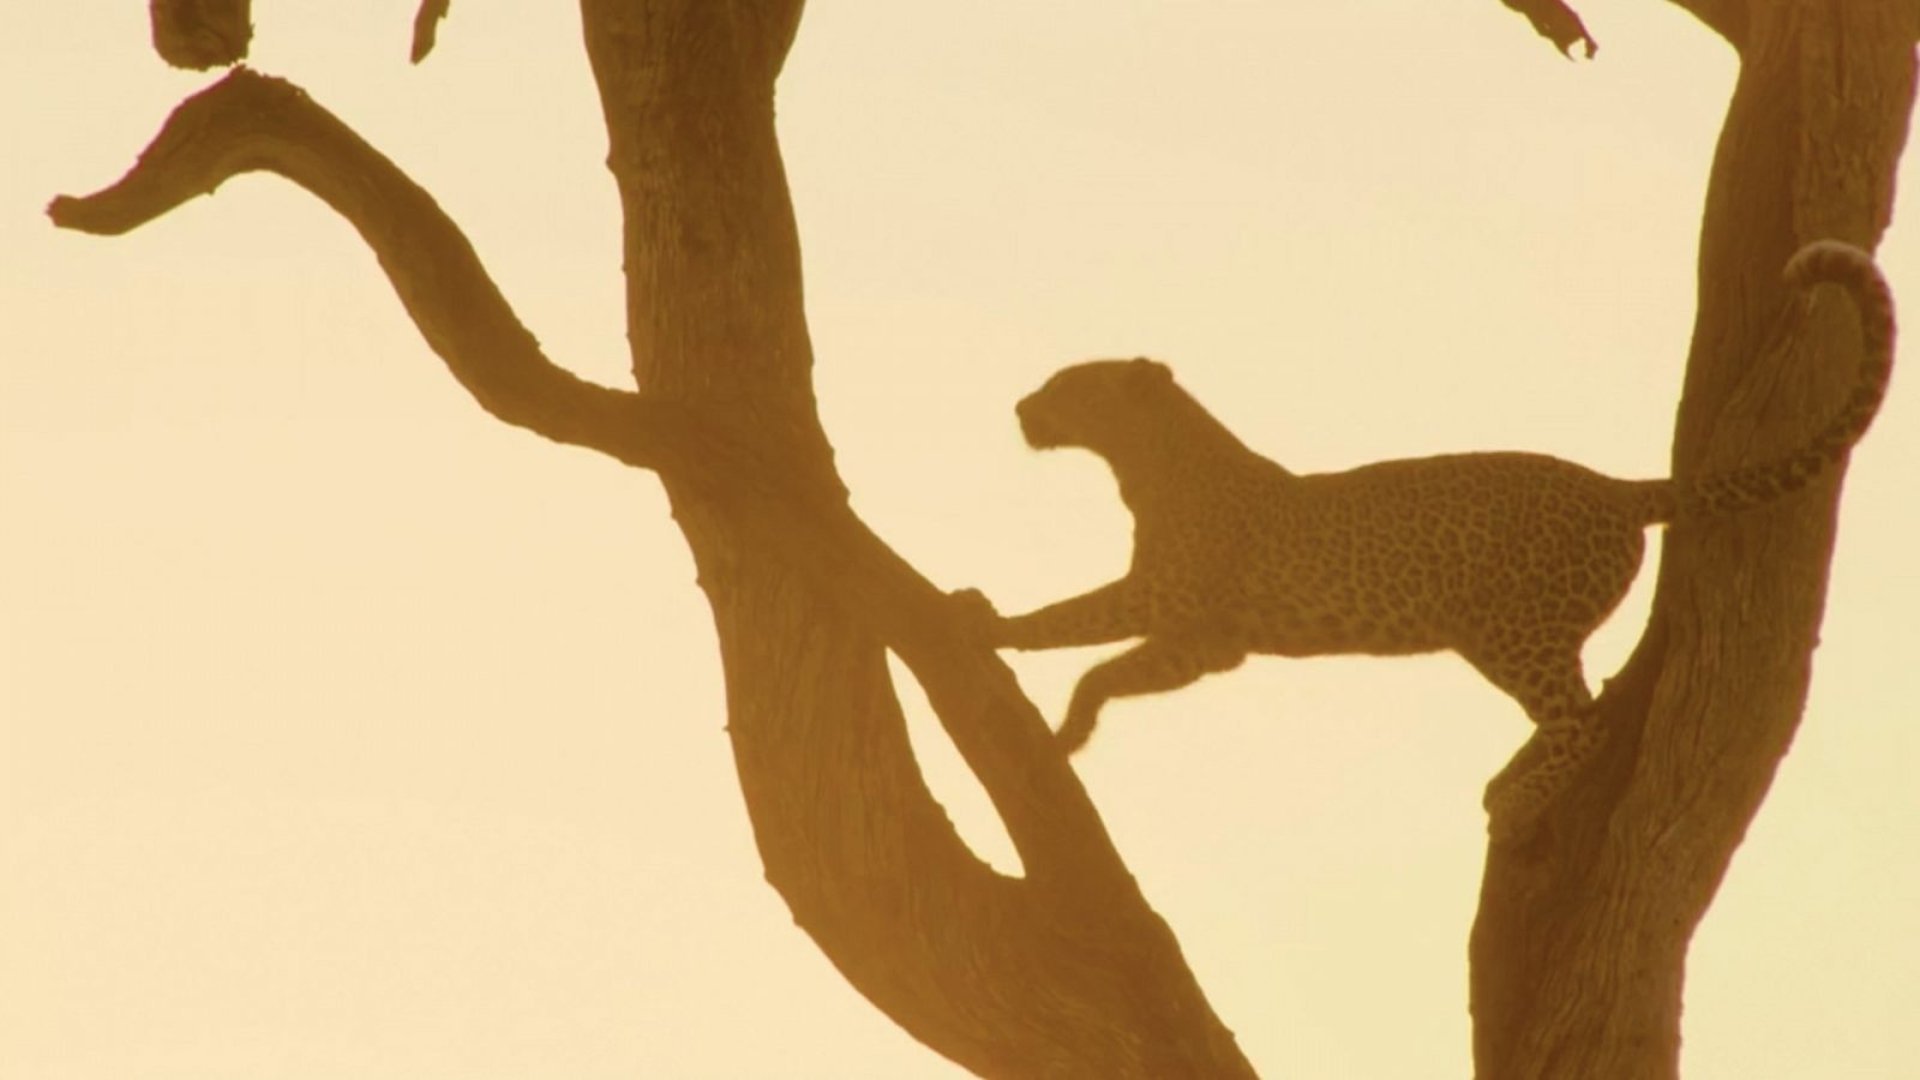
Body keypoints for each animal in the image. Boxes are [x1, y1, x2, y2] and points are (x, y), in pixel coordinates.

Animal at [956, 239, 1895, 842]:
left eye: (1070, 385)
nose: (1022, 408)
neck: (1148, 462)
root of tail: (1615, 486)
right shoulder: (1197, 638)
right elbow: (1084, 633)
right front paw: (998, 634)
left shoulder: (1188, 618)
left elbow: (1082, 638)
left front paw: (1051, 706)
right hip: (1500, 636)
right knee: (1574, 709)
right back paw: (1508, 779)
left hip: (1514, 627)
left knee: (1583, 723)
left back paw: (1513, 802)